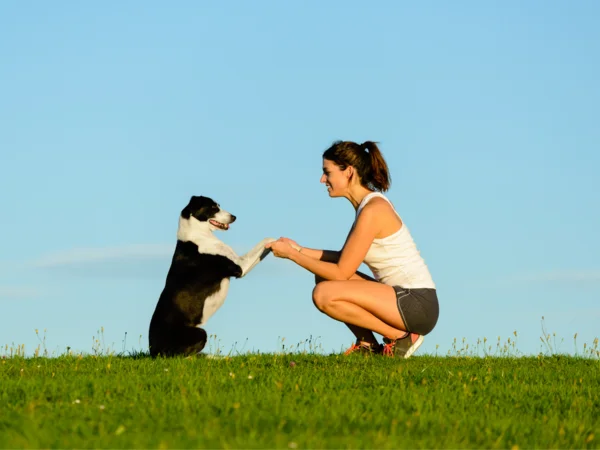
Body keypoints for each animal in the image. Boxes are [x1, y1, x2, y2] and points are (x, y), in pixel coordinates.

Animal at [149, 195, 276, 356]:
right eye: (214, 207)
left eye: (219, 205)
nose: (234, 217)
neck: (198, 236)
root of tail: (153, 351)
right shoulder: (240, 266)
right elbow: (267, 239)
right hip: (199, 333)